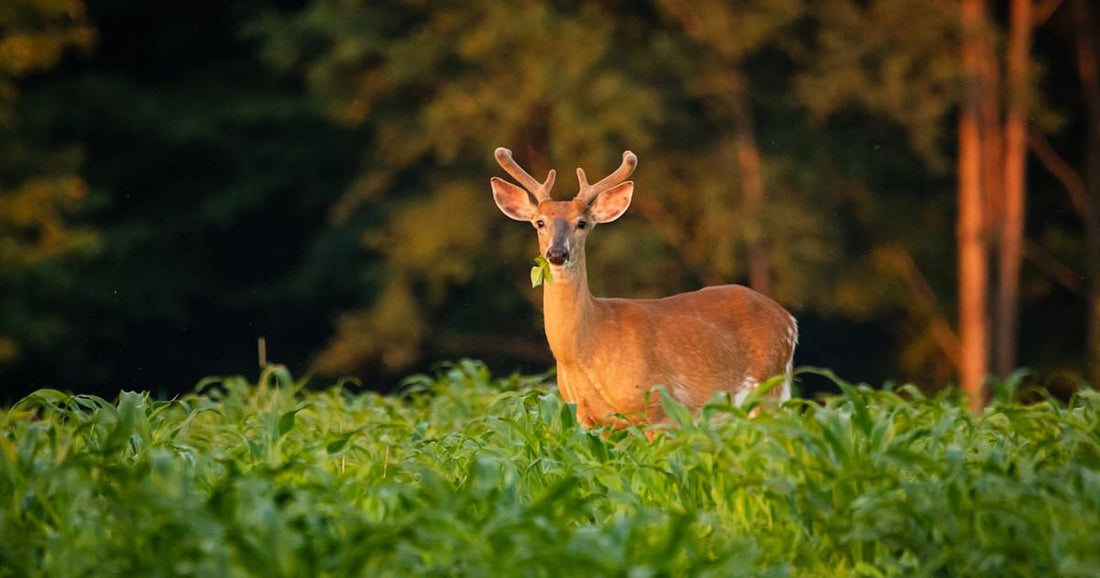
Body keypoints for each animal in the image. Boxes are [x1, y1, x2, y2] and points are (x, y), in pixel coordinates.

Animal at [490, 147, 797, 428]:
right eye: (539, 222)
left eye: (582, 223)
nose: (556, 254)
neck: (586, 350)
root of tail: (789, 320)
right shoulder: (588, 419)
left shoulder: (659, 409)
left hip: (768, 390)